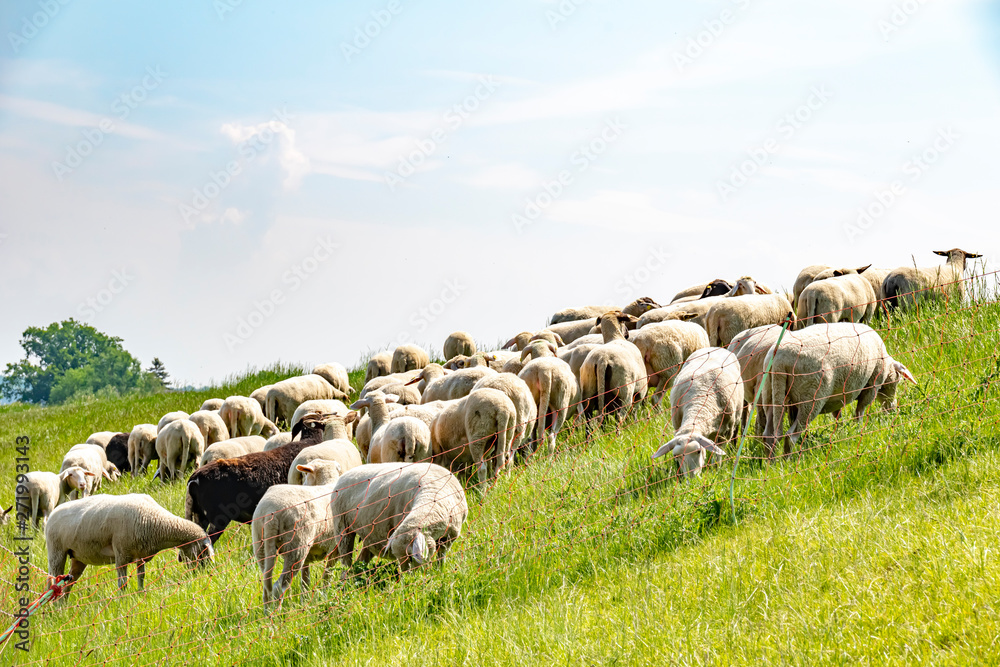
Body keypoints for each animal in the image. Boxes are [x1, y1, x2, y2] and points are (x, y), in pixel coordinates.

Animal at [46, 493, 213, 598]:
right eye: (203, 552)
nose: (202, 576)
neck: (158, 521)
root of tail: (53, 512)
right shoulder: (121, 553)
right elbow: (123, 582)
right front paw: (123, 599)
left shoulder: (141, 554)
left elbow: (141, 576)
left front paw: (140, 593)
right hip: (56, 551)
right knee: (54, 581)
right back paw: (55, 607)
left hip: (78, 557)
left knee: (68, 583)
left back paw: (63, 606)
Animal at [252, 459, 343, 605]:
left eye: (305, 475)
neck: (327, 483)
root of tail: (271, 512)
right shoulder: (335, 548)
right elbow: (327, 576)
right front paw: (325, 597)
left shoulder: (309, 556)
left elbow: (305, 581)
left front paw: (304, 602)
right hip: (296, 546)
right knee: (279, 587)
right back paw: (281, 611)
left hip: (260, 543)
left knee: (267, 586)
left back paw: (269, 611)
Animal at [330, 462, 468, 575]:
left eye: (412, 557)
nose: (409, 580)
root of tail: (345, 474)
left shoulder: (448, 538)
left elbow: (441, 558)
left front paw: (440, 571)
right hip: (342, 527)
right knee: (346, 561)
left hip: (368, 535)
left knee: (358, 562)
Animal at [652, 347, 744, 478]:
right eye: (676, 456)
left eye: (699, 451)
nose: (692, 479)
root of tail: (713, 347)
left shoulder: (725, 432)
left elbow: (717, 454)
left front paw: (716, 469)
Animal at [761, 322, 916, 457]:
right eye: (897, 381)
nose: (892, 409)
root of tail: (779, 361)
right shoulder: (872, 385)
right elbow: (859, 411)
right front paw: (858, 430)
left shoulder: (838, 396)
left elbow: (838, 416)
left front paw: (840, 432)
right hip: (811, 398)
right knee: (790, 437)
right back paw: (787, 462)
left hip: (771, 392)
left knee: (769, 435)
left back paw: (772, 465)